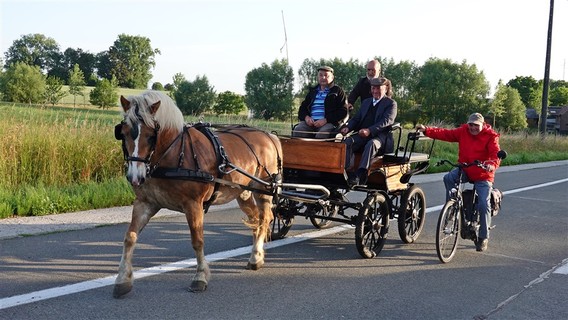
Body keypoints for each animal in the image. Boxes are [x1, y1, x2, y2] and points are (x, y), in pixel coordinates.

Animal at [113, 90, 284, 298]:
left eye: (151, 134)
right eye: (123, 133)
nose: (135, 177)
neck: (172, 154)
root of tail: (269, 136)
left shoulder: (193, 204)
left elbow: (197, 241)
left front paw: (200, 277)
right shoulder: (145, 203)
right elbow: (129, 237)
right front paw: (123, 279)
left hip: (264, 190)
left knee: (265, 218)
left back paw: (257, 256)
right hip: (243, 193)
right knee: (256, 220)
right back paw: (254, 257)